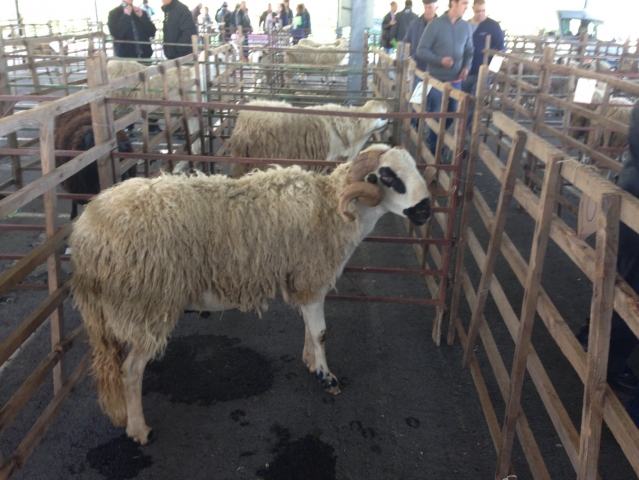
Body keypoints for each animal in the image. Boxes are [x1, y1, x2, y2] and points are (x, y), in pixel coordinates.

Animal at [69, 144, 440, 444]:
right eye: (387, 175)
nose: (425, 210)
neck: (333, 211)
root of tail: (86, 232)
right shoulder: (313, 277)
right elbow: (320, 333)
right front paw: (326, 378)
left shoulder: (303, 282)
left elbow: (309, 330)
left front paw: (310, 362)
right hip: (147, 304)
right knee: (131, 371)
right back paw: (140, 431)